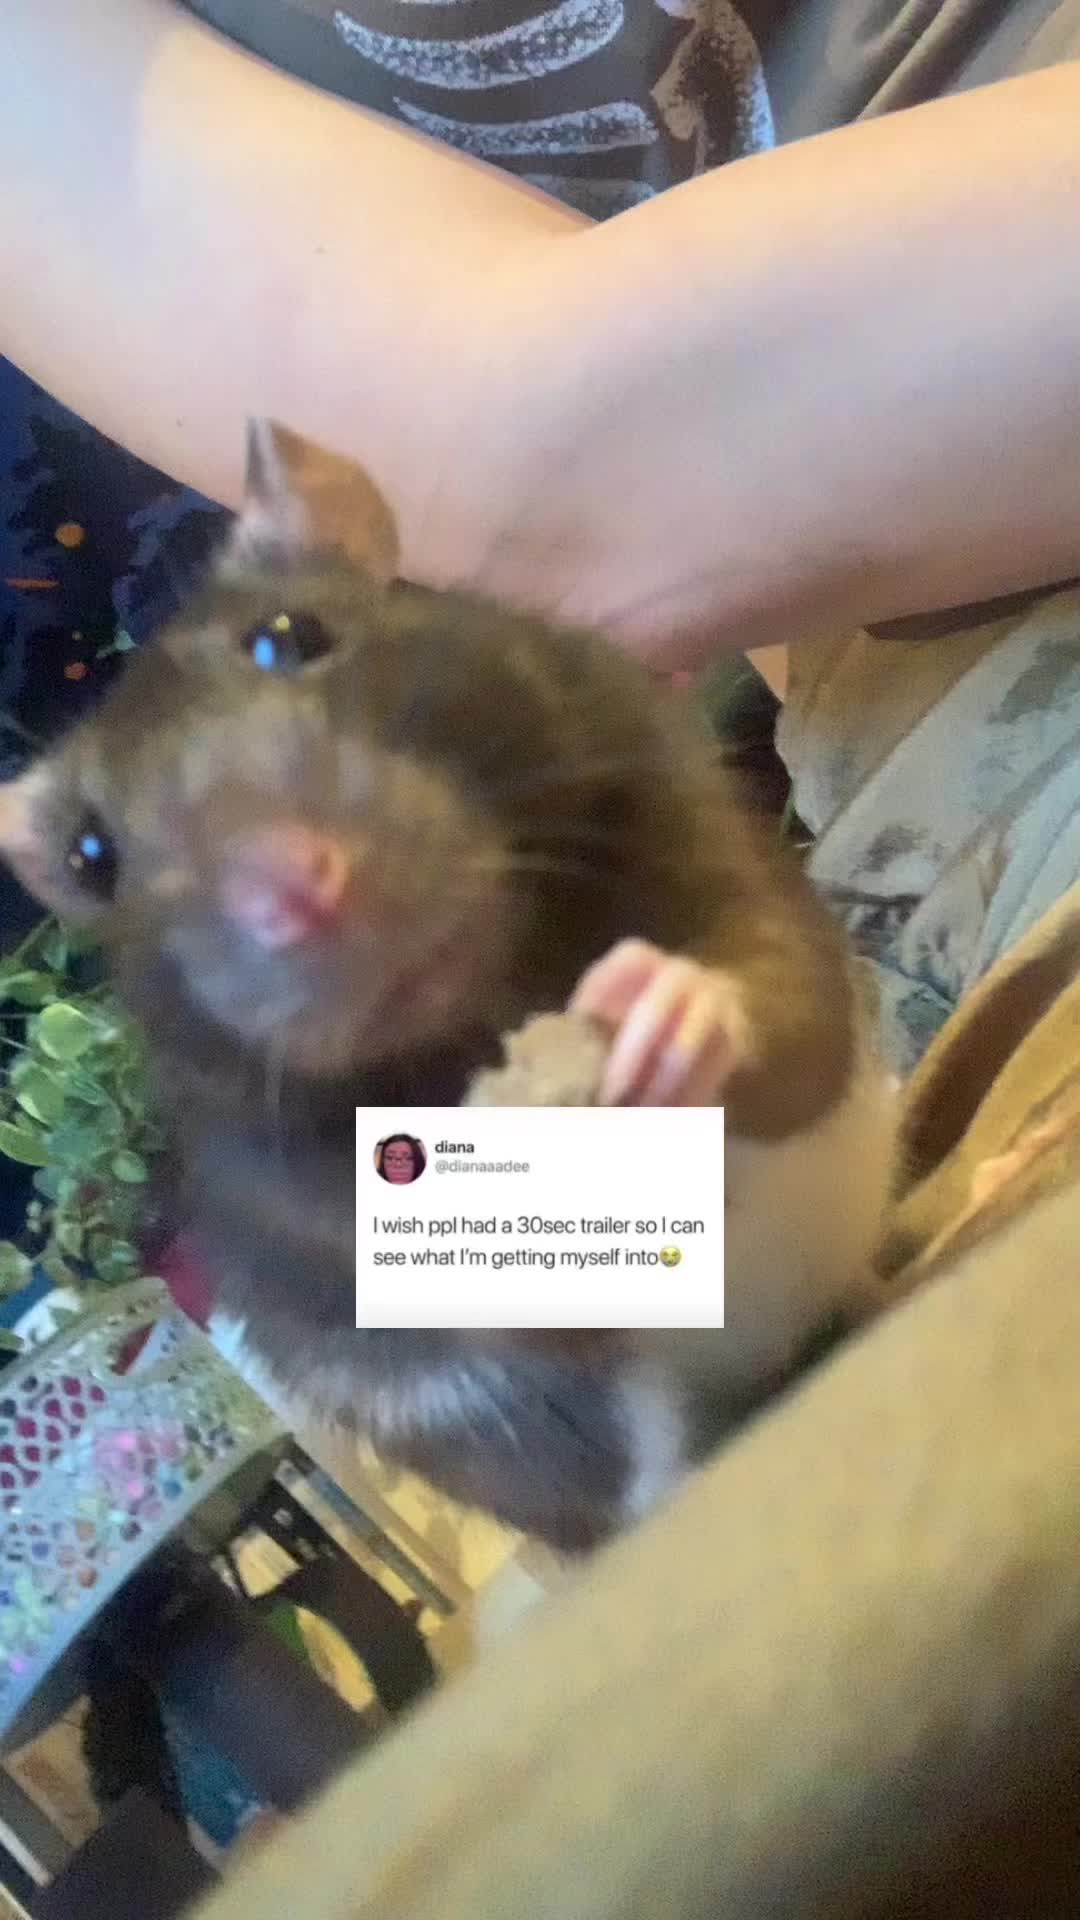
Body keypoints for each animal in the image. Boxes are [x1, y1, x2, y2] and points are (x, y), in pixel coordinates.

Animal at [0, 421, 897, 1553]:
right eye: (92, 857)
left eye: (289, 636)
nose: (294, 894)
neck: (492, 1000)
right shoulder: (304, 1197)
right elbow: (509, 1304)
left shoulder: (687, 820)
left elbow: (793, 1017)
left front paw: (679, 1011)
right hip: (559, 1442)